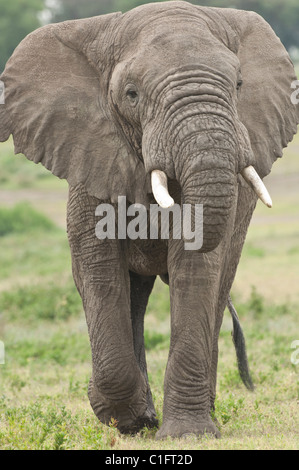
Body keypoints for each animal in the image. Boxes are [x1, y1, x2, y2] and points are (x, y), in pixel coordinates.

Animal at [0, 1, 298, 438]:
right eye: (131, 94)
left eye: (239, 84)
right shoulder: (89, 153)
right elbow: (98, 269)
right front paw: (128, 419)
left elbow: (198, 269)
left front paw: (187, 434)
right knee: (134, 294)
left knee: (215, 288)